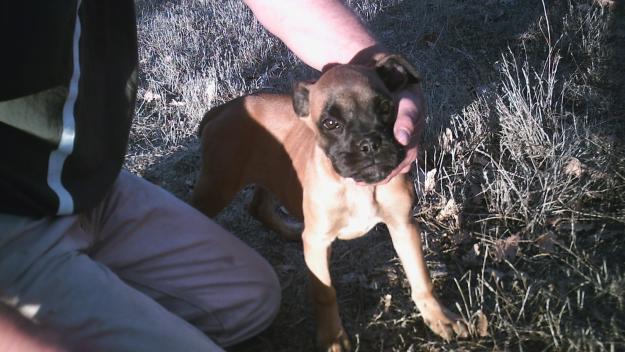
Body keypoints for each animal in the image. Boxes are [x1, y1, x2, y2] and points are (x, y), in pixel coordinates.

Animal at [190, 55, 468, 350]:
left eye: (385, 107)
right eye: (330, 123)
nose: (370, 143)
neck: (356, 187)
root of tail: (222, 110)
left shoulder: (403, 226)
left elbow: (420, 276)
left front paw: (439, 317)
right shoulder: (320, 243)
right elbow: (324, 294)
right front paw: (332, 337)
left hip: (271, 172)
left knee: (259, 206)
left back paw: (292, 231)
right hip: (217, 186)